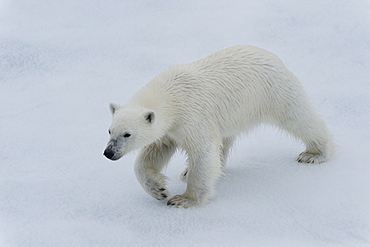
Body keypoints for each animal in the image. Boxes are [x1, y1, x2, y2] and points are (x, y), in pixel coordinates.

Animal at [103, 45, 332, 207]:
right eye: (110, 130)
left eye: (127, 134)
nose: (109, 152)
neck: (171, 95)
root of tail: (272, 55)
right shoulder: (171, 129)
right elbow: (154, 153)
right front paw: (159, 189)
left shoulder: (192, 116)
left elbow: (202, 150)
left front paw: (184, 199)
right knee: (223, 141)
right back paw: (191, 170)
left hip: (273, 91)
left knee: (298, 117)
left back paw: (314, 153)